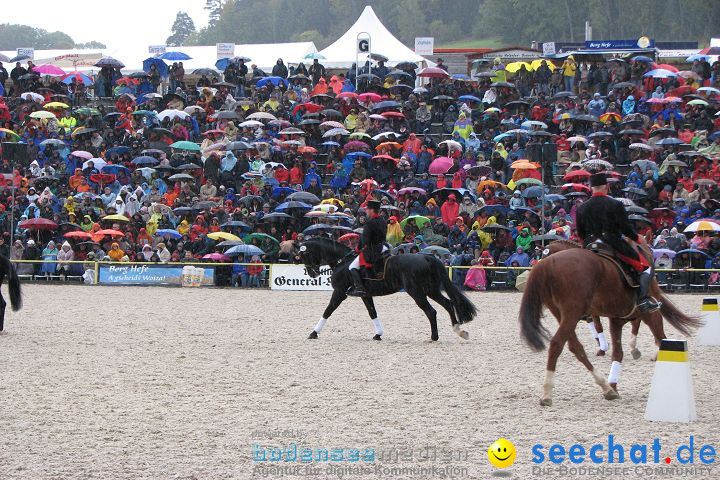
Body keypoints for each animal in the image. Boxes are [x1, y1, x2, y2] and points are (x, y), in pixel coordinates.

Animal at [296, 236, 476, 342]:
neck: (343, 262)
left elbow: (328, 310)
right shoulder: (365, 295)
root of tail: (427, 257)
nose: (312, 274)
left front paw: (313, 333)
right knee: (448, 304)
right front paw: (378, 334)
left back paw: (434, 337)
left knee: (431, 311)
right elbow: (372, 313)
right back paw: (458, 330)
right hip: (431, 290)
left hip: (417, 292)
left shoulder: (339, 293)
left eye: (304, 255)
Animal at [516, 240, 696, 404]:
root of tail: (548, 266)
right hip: (572, 315)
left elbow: (616, 349)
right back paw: (548, 393)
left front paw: (613, 382)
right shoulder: (638, 315)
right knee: (558, 344)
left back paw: (607, 386)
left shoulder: (615, 318)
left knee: (576, 347)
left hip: (564, 315)